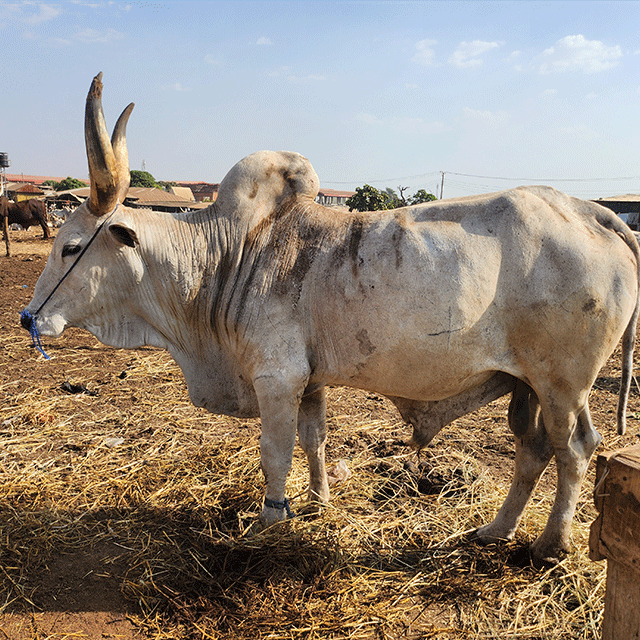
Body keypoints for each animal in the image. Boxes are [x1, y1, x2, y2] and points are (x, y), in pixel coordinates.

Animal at [21, 73, 640, 564]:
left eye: (71, 246)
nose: (30, 318)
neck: (230, 256)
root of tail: (594, 211)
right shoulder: (310, 381)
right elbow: (314, 441)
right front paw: (318, 503)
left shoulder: (276, 379)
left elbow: (275, 454)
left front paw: (271, 521)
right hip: (528, 383)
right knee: (534, 450)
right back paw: (495, 530)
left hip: (563, 384)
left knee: (574, 450)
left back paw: (551, 544)